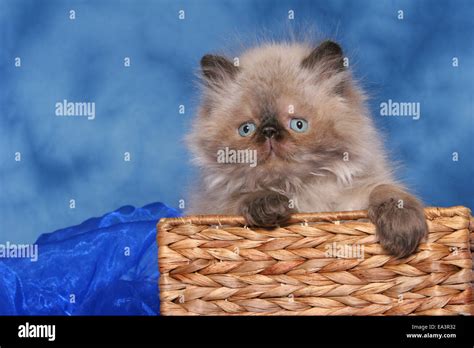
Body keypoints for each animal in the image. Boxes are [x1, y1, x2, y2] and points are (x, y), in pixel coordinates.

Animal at [184, 40, 426, 258]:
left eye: (298, 124)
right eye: (246, 129)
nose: (269, 131)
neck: (298, 189)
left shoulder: (358, 197)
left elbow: (387, 192)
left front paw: (401, 229)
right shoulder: (216, 208)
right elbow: (241, 197)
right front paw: (268, 205)